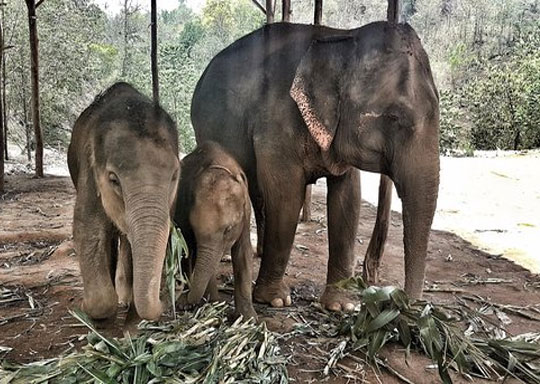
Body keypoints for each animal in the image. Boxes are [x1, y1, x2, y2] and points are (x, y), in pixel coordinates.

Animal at [67, 83, 179, 320]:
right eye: (113, 179)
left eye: (174, 176)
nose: (164, 302)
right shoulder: (89, 174)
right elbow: (87, 228)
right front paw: (86, 307)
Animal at [174, 142, 256, 320]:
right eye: (194, 227)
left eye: (228, 229)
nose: (189, 298)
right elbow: (189, 247)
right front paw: (200, 303)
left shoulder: (246, 214)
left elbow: (243, 252)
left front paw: (249, 318)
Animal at [190, 21, 438, 310]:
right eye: (394, 118)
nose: (404, 305)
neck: (339, 37)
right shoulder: (276, 124)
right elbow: (286, 197)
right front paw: (275, 299)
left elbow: (347, 199)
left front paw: (341, 306)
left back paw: (258, 251)